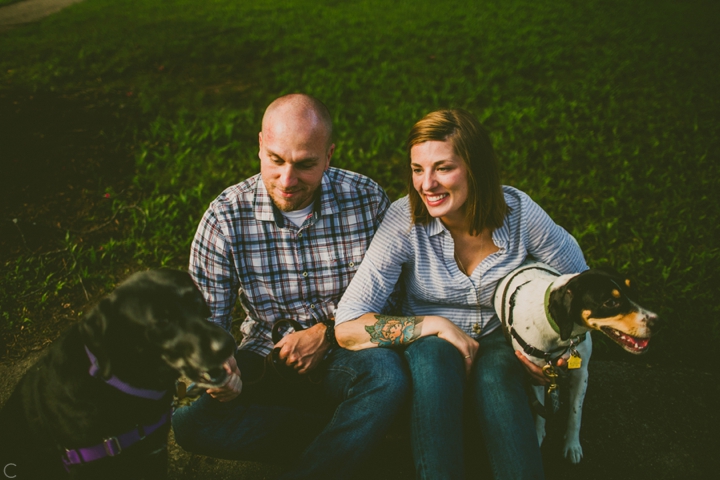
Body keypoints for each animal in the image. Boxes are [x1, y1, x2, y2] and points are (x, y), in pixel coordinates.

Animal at [496, 260, 660, 464]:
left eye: (634, 290)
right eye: (610, 302)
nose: (657, 322)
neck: (559, 335)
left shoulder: (581, 374)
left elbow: (575, 415)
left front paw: (572, 445)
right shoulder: (535, 374)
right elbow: (540, 413)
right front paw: (538, 434)